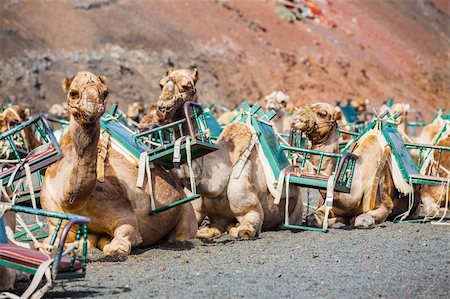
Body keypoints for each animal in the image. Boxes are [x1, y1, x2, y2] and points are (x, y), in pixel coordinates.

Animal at [40, 71, 197, 256]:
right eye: (73, 93)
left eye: (105, 92)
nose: (93, 109)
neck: (71, 201)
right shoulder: (53, 214)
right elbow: (50, 242)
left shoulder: (122, 213)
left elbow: (124, 238)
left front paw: (114, 248)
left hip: (187, 210)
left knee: (181, 234)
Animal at [156, 67, 302, 239]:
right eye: (161, 84)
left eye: (186, 85)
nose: (162, 108)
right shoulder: (197, 210)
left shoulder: (252, 210)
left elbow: (246, 229)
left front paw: (237, 228)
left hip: (296, 209)